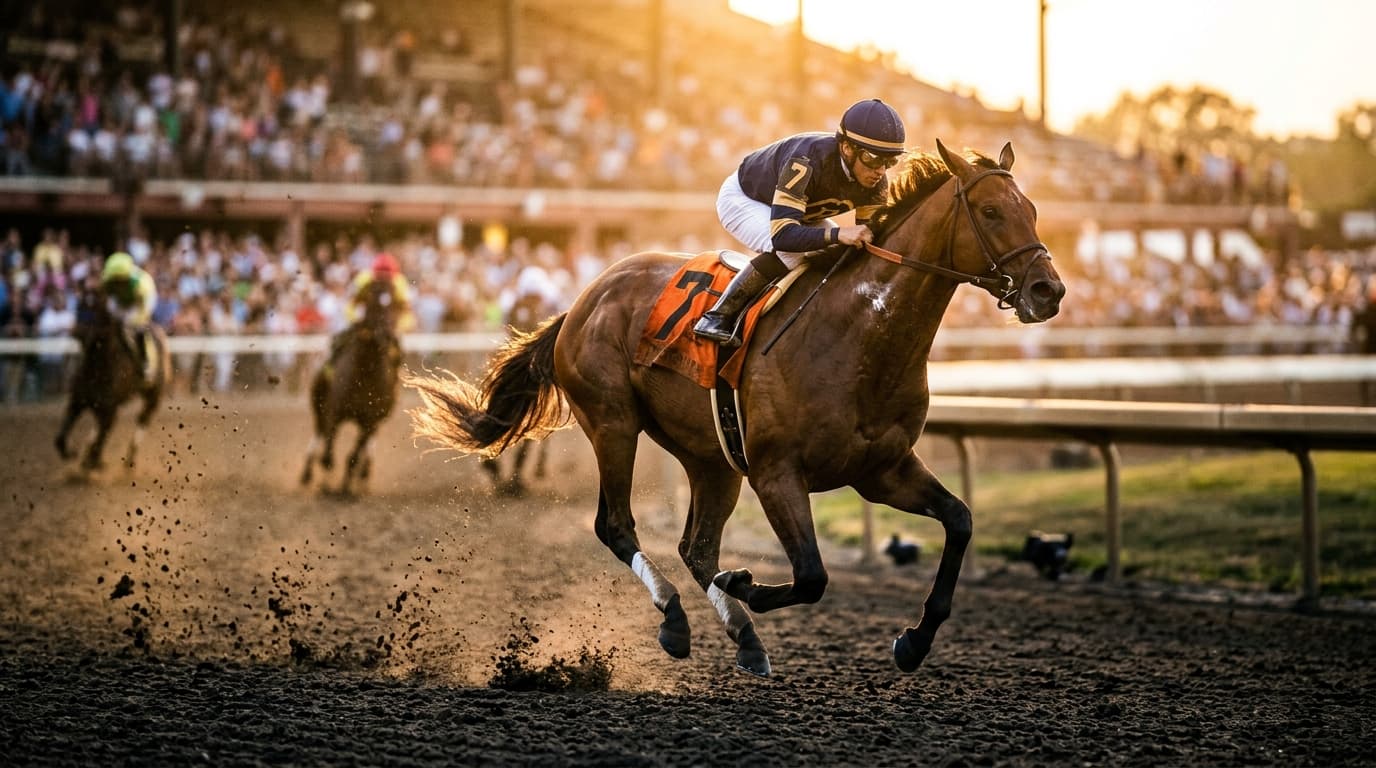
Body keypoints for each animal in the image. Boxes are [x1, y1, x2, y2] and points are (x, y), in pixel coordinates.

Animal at [54, 287, 169, 471]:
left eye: (91, 306)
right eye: (79, 306)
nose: (75, 330)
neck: (98, 366)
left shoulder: (110, 409)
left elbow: (102, 437)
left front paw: (94, 462)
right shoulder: (79, 400)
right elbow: (61, 437)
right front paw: (72, 453)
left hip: (154, 394)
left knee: (143, 419)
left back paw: (129, 459)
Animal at [300, 281, 403, 495]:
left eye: (394, 304)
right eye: (370, 299)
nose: (384, 334)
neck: (365, 374)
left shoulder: (370, 421)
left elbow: (354, 456)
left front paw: (347, 486)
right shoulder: (334, 412)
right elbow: (328, 455)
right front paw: (327, 483)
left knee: (367, 445)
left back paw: (363, 475)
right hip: (318, 403)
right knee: (319, 433)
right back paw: (307, 474)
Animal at [405, 140, 1065, 676]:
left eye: (1033, 209)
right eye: (991, 212)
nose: (1048, 291)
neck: (858, 336)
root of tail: (585, 297)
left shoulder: (882, 470)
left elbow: (960, 521)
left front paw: (914, 641)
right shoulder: (777, 472)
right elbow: (812, 576)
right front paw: (748, 583)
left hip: (712, 457)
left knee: (696, 546)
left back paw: (744, 637)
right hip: (614, 423)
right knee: (617, 525)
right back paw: (676, 619)